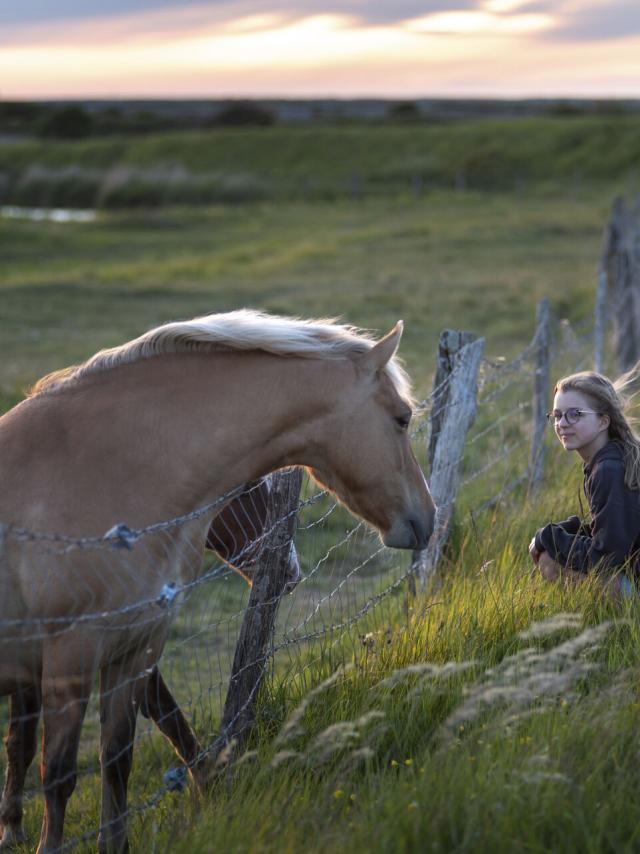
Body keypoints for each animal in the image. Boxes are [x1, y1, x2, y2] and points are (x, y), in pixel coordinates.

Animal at [0, 478, 302, 852]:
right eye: (246, 489)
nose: (290, 572)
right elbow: (23, 744)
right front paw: (12, 829)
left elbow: (164, 717)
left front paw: (210, 783)